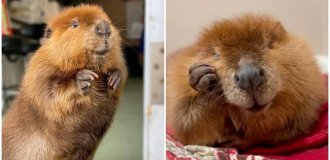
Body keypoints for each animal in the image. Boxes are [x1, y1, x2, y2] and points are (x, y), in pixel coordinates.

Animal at [3, 4, 127, 159]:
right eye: (74, 24)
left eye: (107, 18)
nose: (104, 27)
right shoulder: (39, 72)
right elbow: (49, 93)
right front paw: (84, 79)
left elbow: (120, 68)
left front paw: (114, 77)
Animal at [166, 13, 326, 150]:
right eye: (216, 54)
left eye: (269, 44)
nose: (249, 76)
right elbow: (186, 126)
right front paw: (202, 77)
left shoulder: (307, 102)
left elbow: (291, 128)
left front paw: (236, 141)